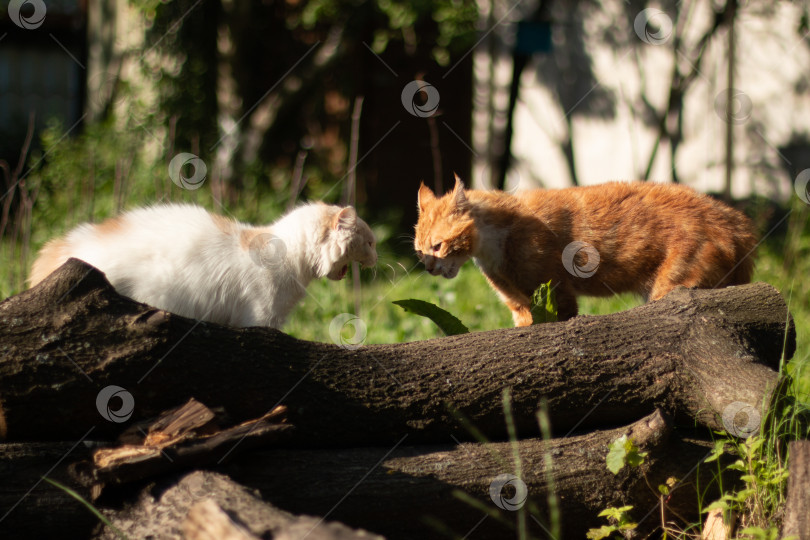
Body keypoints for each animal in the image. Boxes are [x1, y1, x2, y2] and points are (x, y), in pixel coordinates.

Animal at [414, 177, 756, 326]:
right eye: (420, 251)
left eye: (438, 246)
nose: (429, 268)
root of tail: (735, 219)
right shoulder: (520, 307)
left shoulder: (557, 296)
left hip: (673, 287)